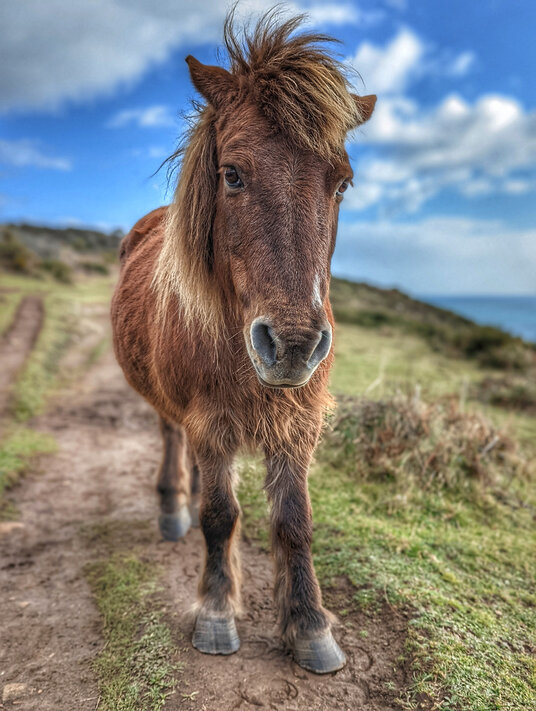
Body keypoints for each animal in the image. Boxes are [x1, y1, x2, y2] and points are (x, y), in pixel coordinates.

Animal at [111, 10, 375, 674]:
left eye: (341, 184)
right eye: (232, 174)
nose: (293, 345)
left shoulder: (297, 422)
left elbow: (294, 522)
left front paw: (309, 626)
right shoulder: (210, 421)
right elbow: (220, 516)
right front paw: (215, 614)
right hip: (171, 407)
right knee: (172, 442)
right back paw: (172, 507)